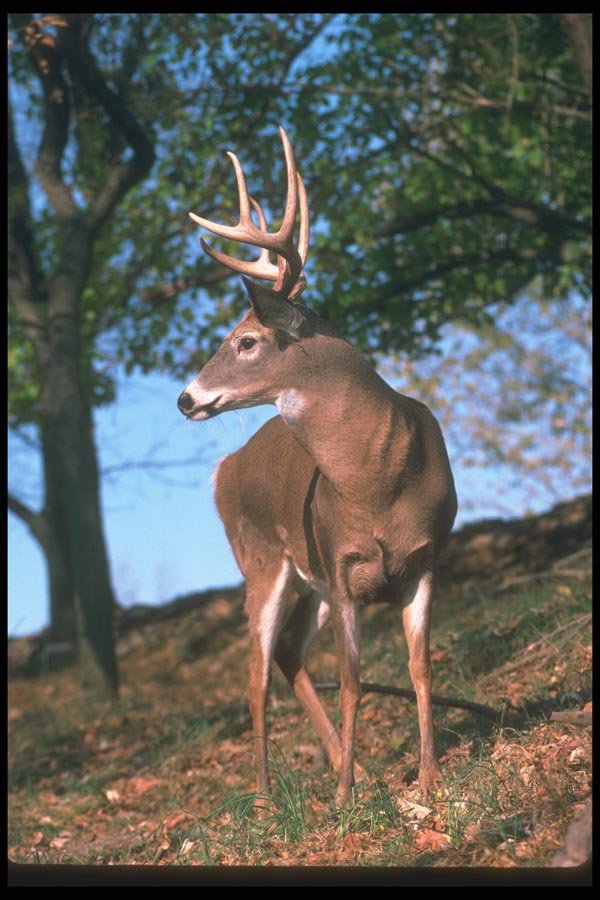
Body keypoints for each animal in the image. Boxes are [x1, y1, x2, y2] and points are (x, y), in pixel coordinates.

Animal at [177, 127, 457, 806]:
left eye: (246, 340)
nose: (185, 399)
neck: (378, 477)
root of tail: (224, 469)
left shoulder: (426, 556)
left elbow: (420, 665)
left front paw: (429, 778)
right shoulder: (342, 562)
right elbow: (353, 677)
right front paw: (346, 798)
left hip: (311, 585)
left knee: (285, 657)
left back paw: (345, 767)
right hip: (262, 561)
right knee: (254, 673)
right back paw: (266, 795)